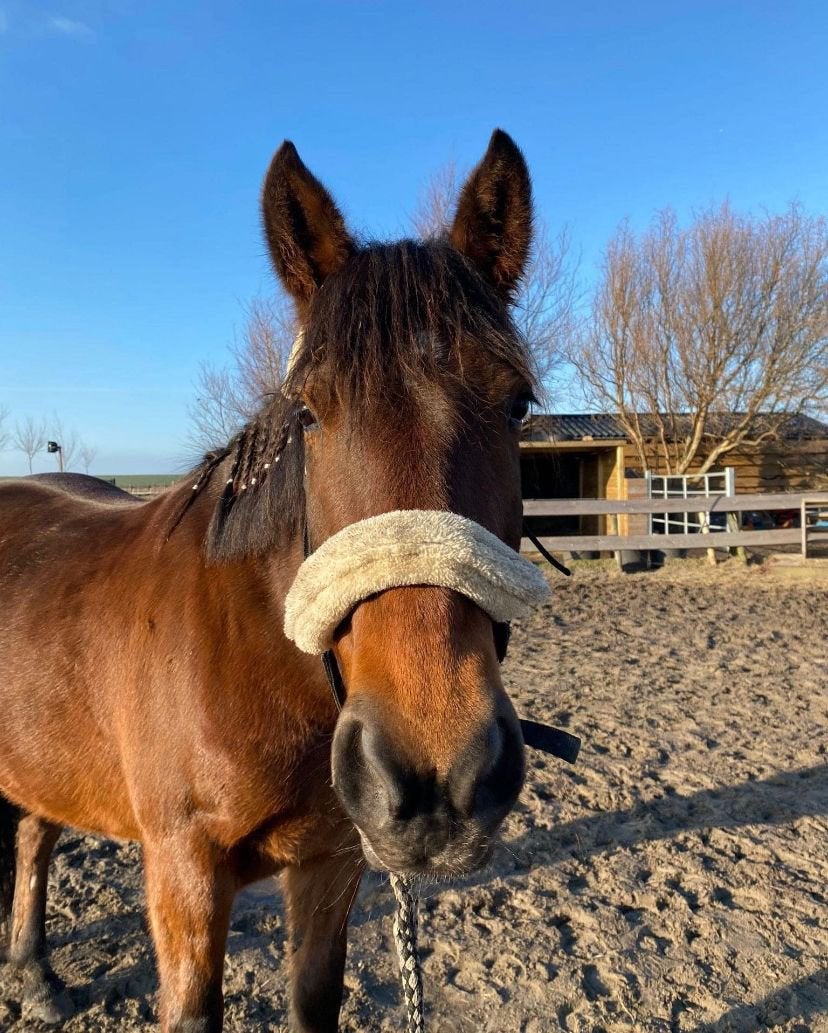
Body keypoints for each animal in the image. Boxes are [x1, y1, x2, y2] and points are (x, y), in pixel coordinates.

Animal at [0, 128, 540, 1032]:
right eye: (311, 411)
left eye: (518, 405)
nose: (438, 777)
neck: (246, 653)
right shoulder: (182, 873)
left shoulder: (331, 863)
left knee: (36, 830)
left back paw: (35, 972)